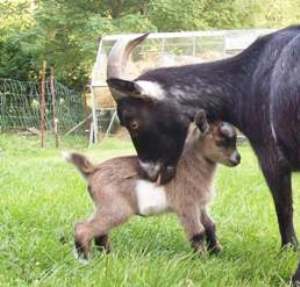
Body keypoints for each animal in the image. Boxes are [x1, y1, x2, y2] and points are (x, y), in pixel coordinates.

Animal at [64, 111, 240, 260]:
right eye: (220, 142)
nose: (237, 159)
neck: (189, 166)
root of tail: (93, 170)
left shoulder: (200, 205)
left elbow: (210, 226)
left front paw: (217, 252)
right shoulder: (187, 206)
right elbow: (197, 232)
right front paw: (202, 260)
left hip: (103, 207)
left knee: (99, 231)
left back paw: (108, 256)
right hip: (116, 208)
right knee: (83, 228)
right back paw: (85, 259)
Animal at [106, 26, 300, 284]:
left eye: (133, 123)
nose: (150, 173)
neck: (246, 80)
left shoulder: (271, 156)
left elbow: (284, 207)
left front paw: (289, 250)